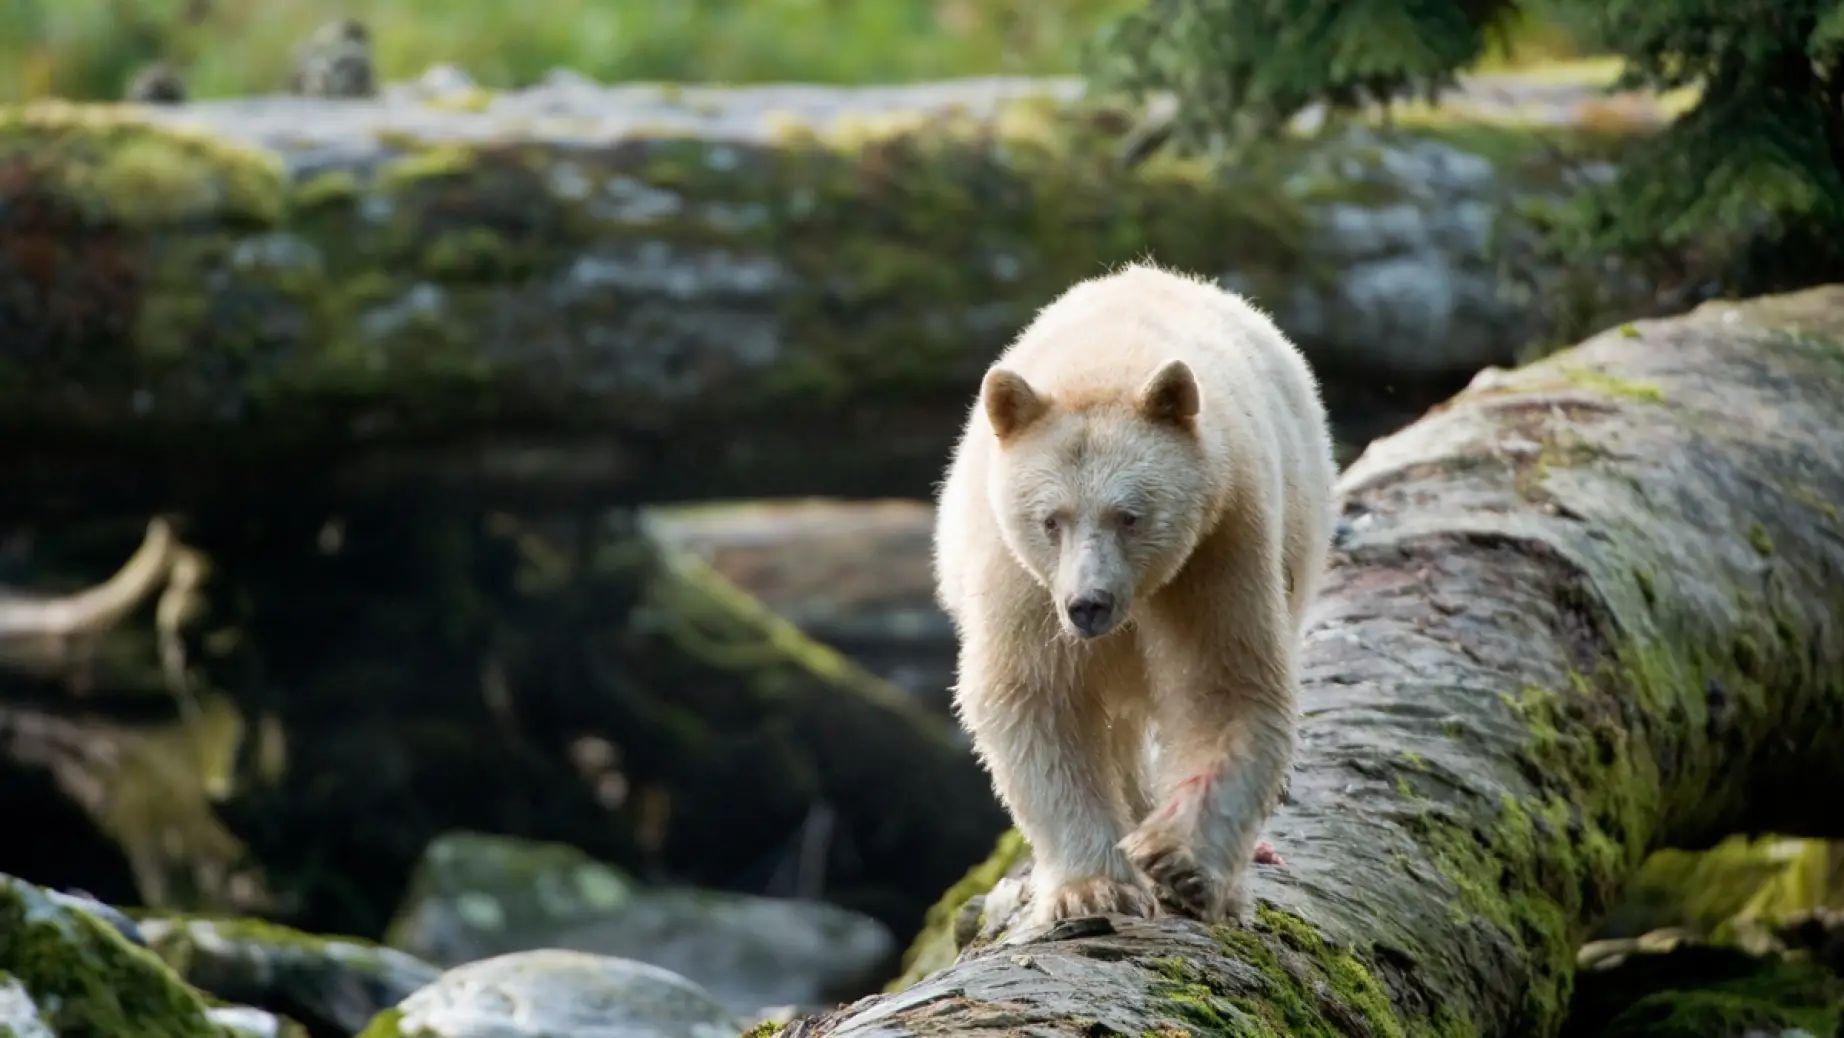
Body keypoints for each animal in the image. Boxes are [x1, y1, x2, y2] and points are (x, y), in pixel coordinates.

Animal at [931, 260, 1336, 927]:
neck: (1106, 364)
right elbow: (1034, 695)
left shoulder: (1219, 547)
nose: (1088, 605)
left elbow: (1226, 684)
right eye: (1051, 520)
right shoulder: (1021, 579)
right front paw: (1094, 887)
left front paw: (1178, 863)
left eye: (1130, 516)